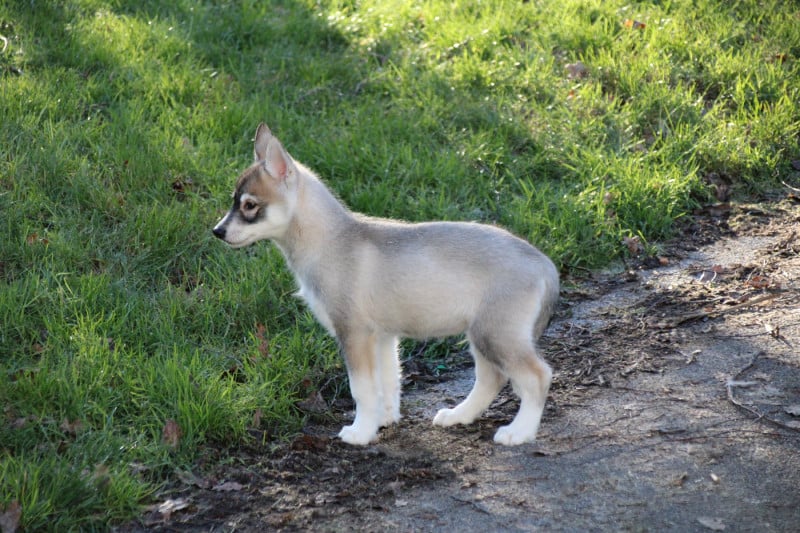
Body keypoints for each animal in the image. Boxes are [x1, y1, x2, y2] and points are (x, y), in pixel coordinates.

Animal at [213, 124, 559, 446]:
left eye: (249, 205)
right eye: (235, 202)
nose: (217, 232)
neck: (329, 240)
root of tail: (544, 263)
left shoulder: (353, 334)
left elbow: (362, 390)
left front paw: (360, 432)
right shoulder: (382, 338)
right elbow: (388, 383)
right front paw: (384, 420)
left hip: (497, 335)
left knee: (537, 376)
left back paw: (519, 431)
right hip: (483, 335)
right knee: (490, 379)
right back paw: (459, 415)